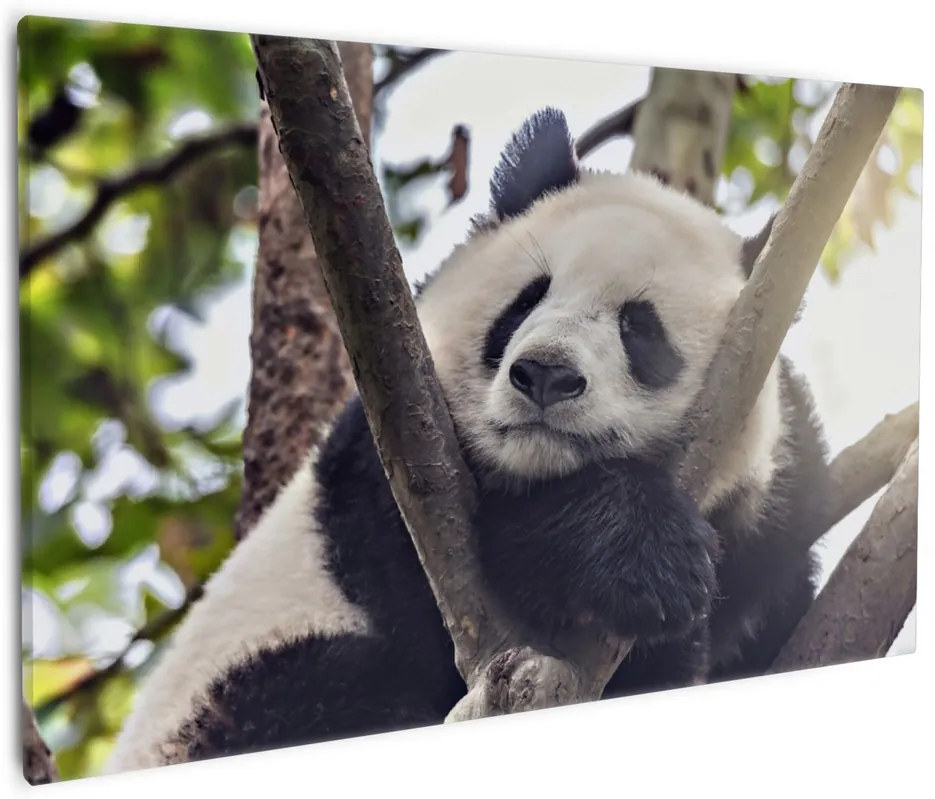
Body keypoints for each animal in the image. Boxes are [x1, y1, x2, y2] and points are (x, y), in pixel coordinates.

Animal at [105, 107, 832, 774]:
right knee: (324, 687)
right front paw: (637, 558)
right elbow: (433, 585)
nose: (544, 374)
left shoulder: (770, 521)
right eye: (526, 300)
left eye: (639, 328)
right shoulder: (388, 453)